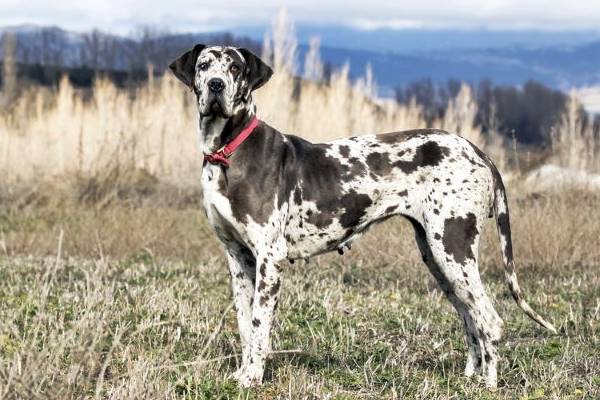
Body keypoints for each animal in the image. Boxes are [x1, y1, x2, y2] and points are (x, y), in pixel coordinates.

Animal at [169, 43, 556, 388]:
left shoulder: (269, 258)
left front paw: (252, 379)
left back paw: (488, 384)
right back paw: (469, 378)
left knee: (490, 320)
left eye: (235, 68)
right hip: (438, 258)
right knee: (470, 319)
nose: (216, 85)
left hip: (453, 249)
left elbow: (260, 325)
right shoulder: (238, 259)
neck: (228, 151)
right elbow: (245, 325)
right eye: (204, 65)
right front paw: (243, 374)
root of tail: (478, 151)